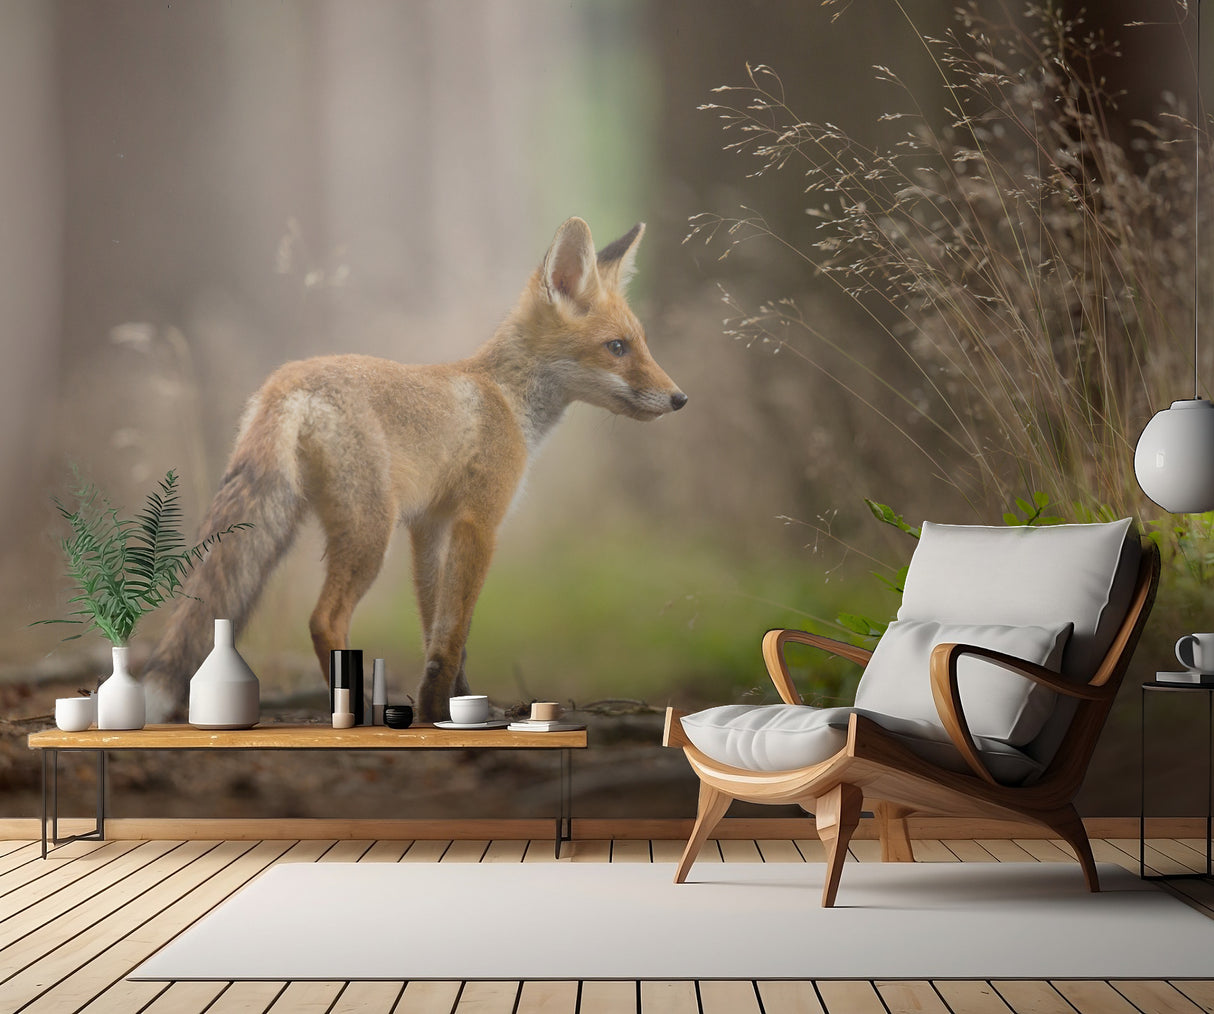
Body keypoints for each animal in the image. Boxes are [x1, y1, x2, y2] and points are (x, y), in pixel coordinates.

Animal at [142, 217, 686, 723]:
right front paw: (439, 711)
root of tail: (288, 383)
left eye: (640, 343)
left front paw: (447, 705)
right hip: (369, 533)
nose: (680, 398)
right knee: (324, 620)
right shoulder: (478, 523)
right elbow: (455, 632)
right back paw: (355, 709)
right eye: (617, 347)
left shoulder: (430, 528)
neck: (506, 398)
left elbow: (438, 633)